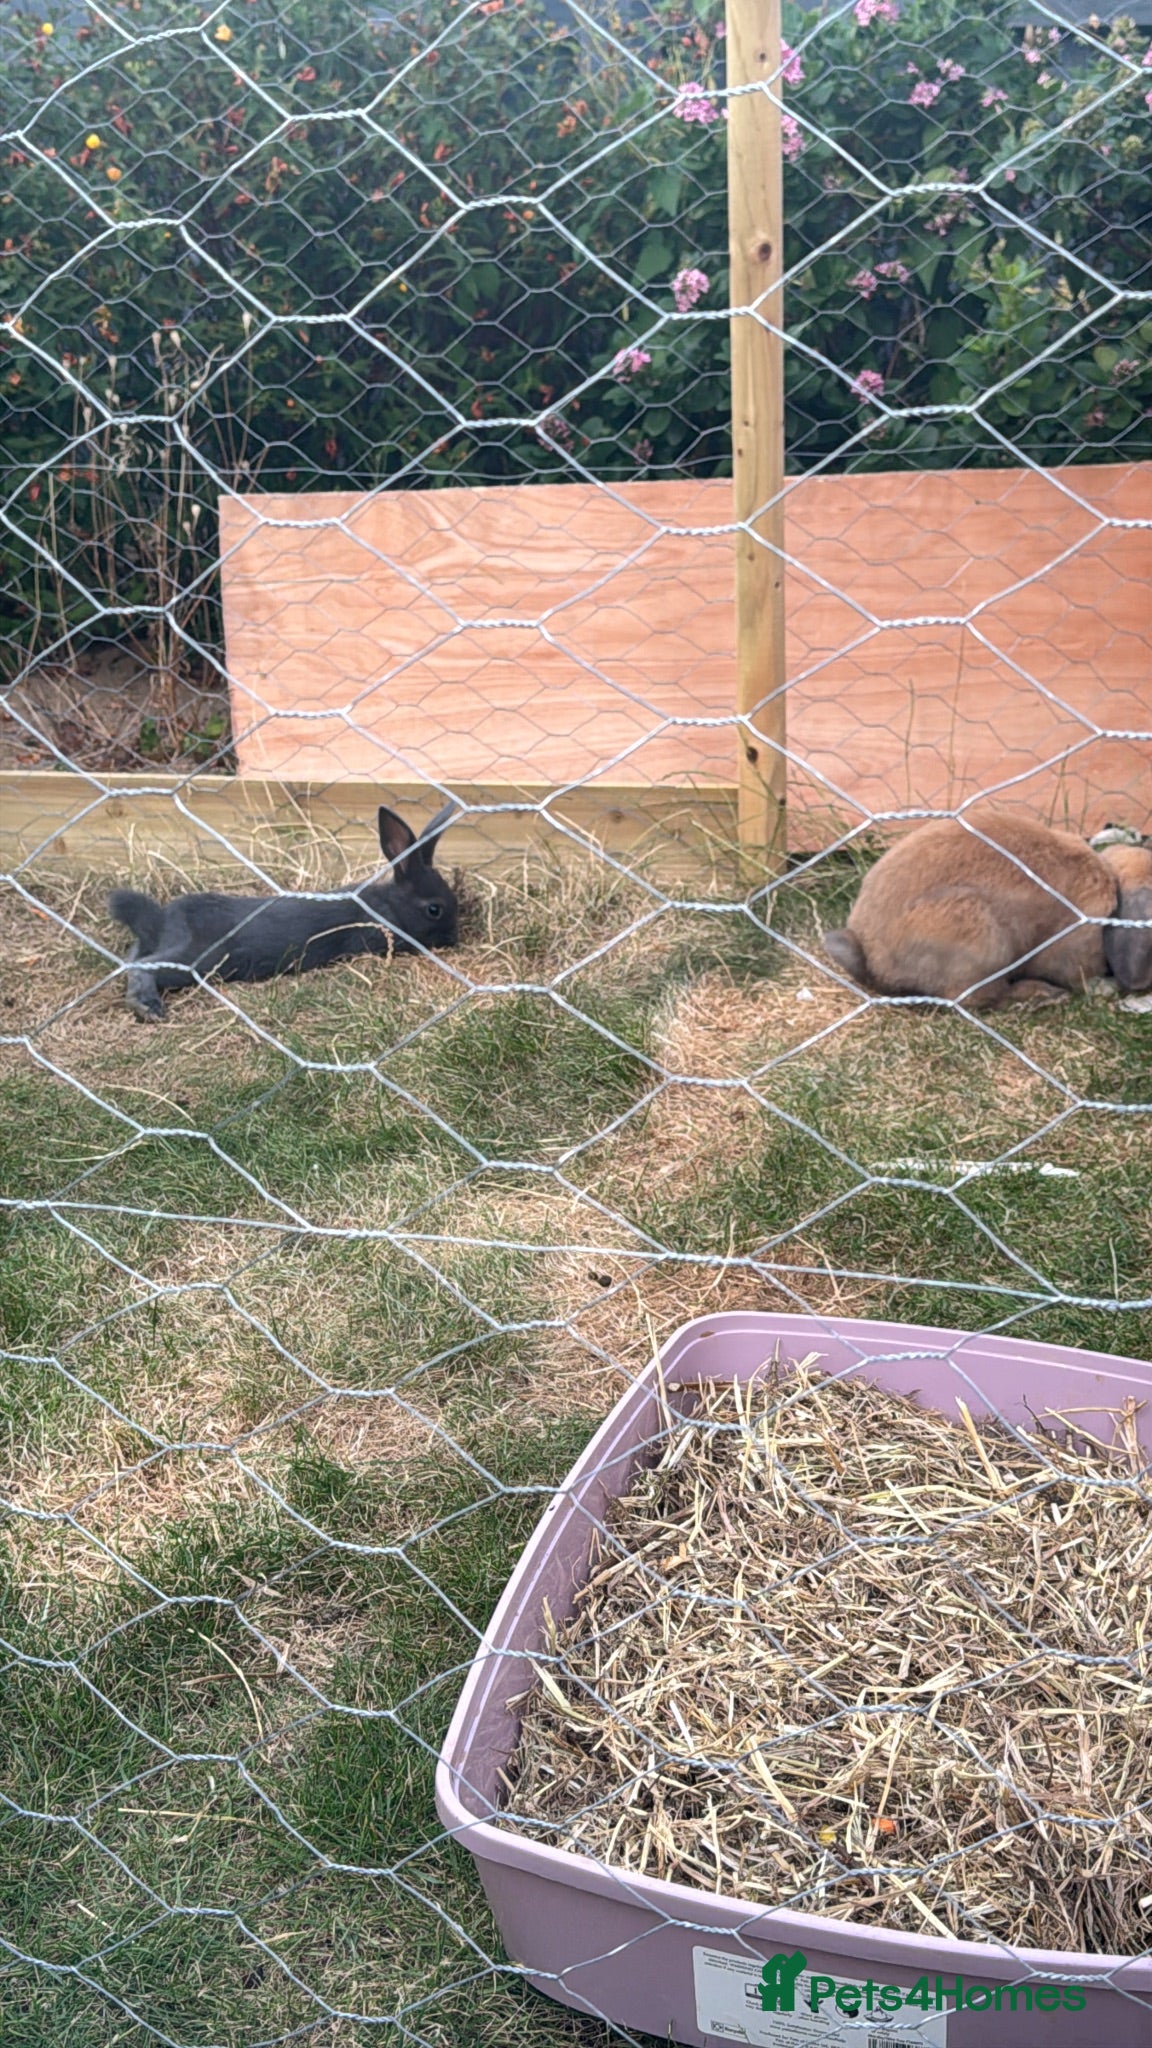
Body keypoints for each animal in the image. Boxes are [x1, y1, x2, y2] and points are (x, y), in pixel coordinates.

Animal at [108, 801, 459, 1021]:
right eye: (434, 909)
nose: (455, 938)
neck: (387, 906)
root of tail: (158, 921)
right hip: (196, 960)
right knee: (142, 967)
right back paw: (147, 1007)